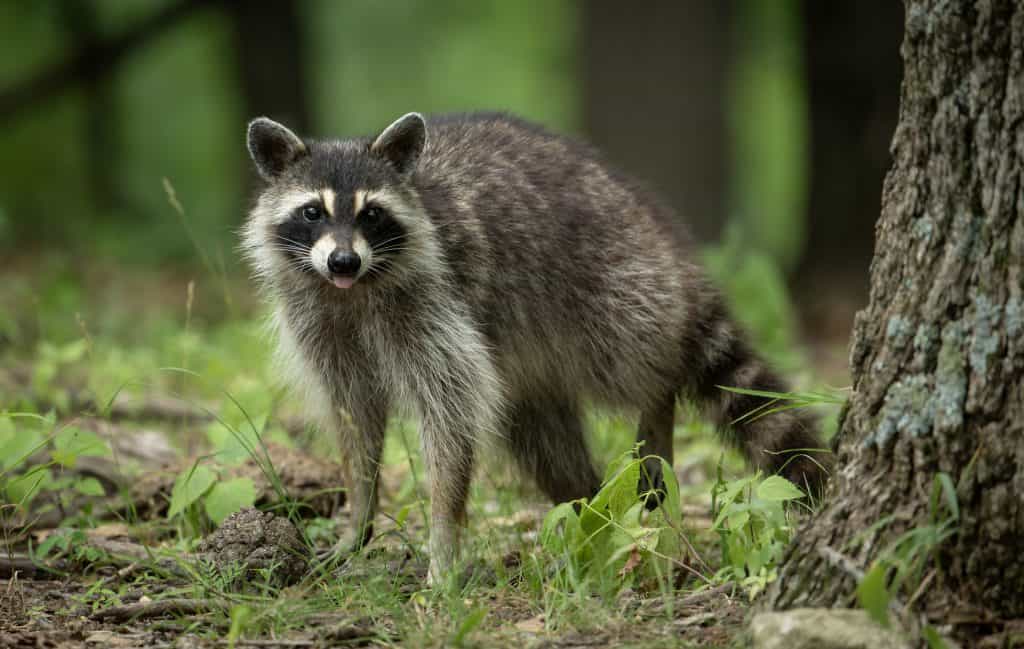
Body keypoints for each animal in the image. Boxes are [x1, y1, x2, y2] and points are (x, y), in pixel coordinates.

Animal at [241, 112, 829, 582]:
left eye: (371, 214)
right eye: (313, 212)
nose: (343, 260)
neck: (352, 291)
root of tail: (665, 242)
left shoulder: (436, 305)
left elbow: (451, 417)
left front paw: (442, 540)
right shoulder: (322, 325)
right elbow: (354, 418)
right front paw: (360, 514)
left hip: (616, 283)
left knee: (632, 360)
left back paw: (656, 401)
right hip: (537, 376)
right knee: (547, 447)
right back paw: (590, 506)